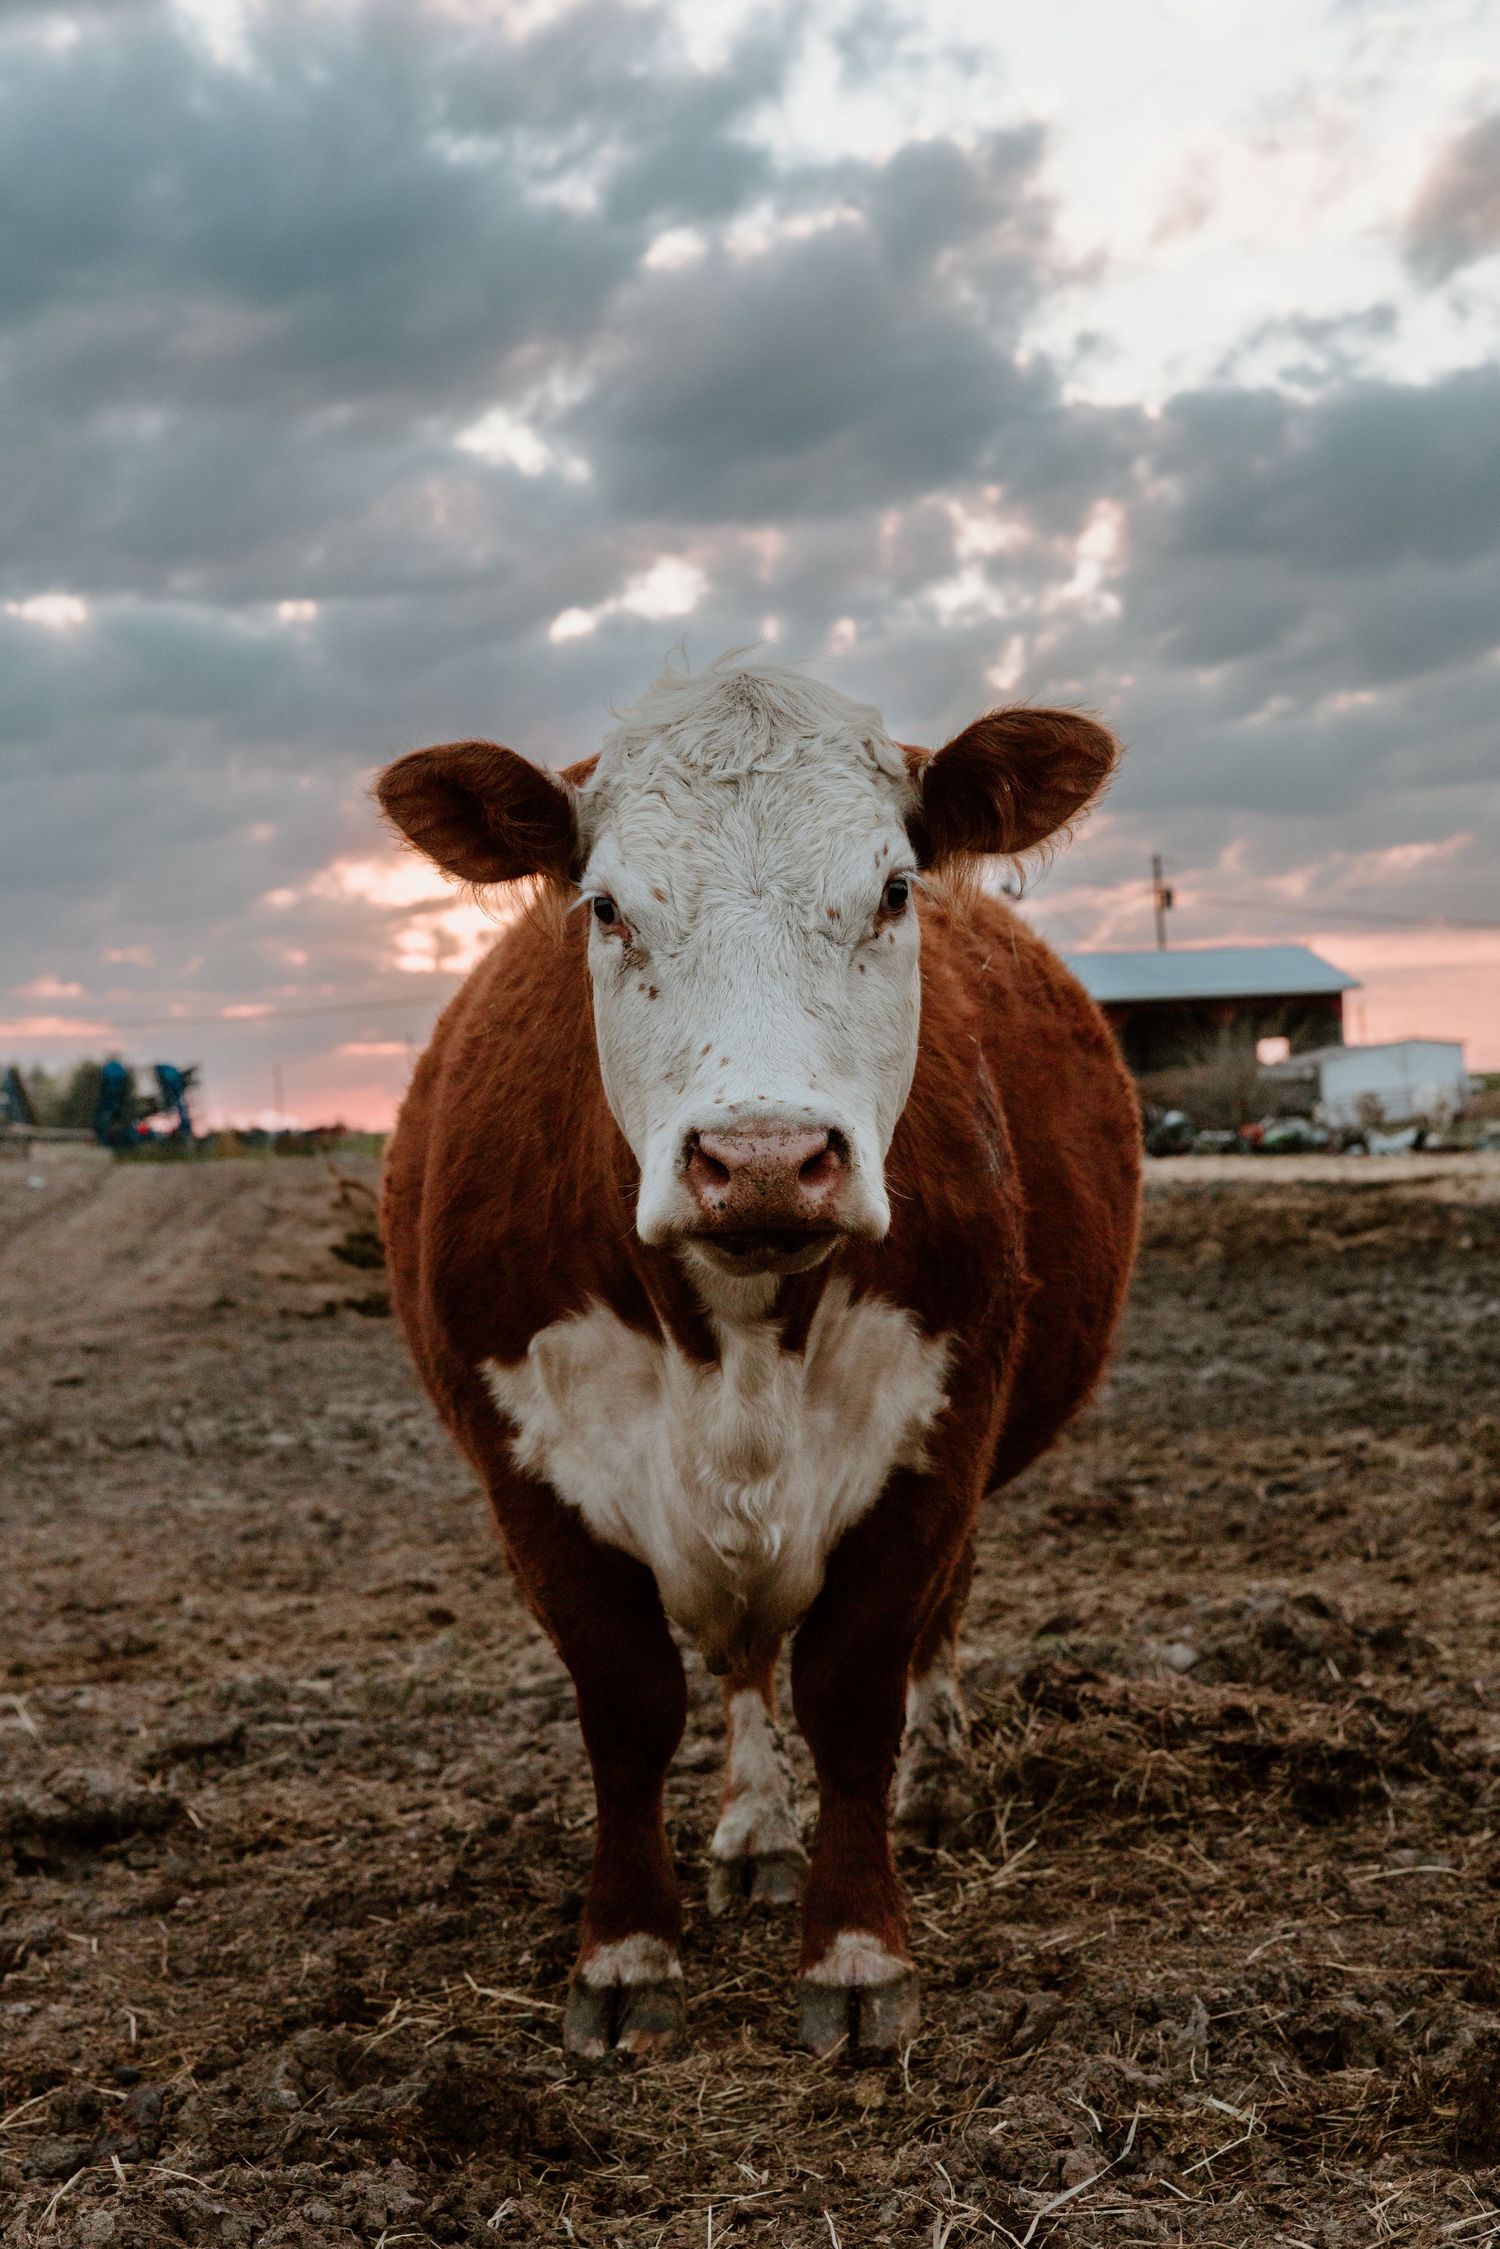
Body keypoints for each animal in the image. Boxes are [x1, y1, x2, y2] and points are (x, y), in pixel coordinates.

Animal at [375, 655, 1140, 2061]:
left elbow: (855, 1687)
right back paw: (754, 1831)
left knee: (936, 1623)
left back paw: (935, 1783)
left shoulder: (939, 1435)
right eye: (606, 905)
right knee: (735, 1661)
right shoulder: (528, 1467)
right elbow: (629, 1702)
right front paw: (627, 1948)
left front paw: (856, 1951)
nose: (768, 1158)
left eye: (893, 889)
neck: (730, 1333)